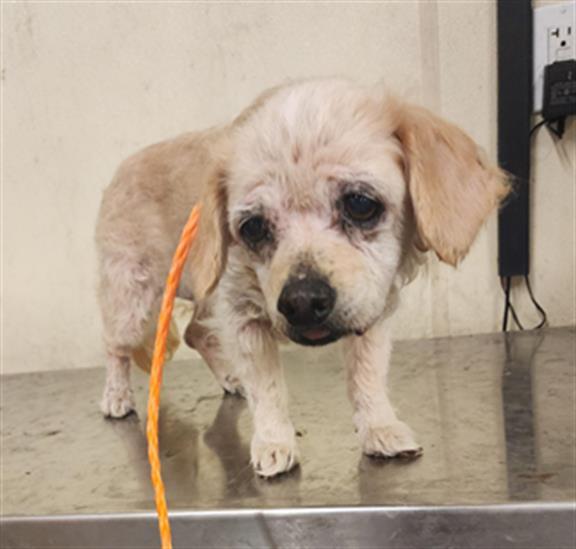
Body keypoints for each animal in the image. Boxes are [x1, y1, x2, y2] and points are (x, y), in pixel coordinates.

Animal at [95, 77, 508, 476]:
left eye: (360, 204)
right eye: (253, 227)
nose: (302, 303)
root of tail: (119, 173)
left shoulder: (370, 311)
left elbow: (368, 377)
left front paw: (379, 427)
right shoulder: (245, 318)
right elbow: (267, 388)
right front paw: (273, 442)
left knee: (197, 333)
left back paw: (230, 377)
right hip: (134, 303)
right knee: (116, 348)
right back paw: (116, 396)